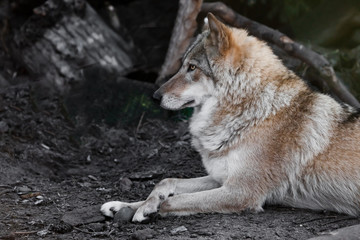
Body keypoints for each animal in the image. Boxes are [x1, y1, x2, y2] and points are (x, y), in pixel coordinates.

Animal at [100, 13, 360, 223]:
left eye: (192, 68)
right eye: (183, 65)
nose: (155, 96)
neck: (250, 112)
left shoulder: (241, 191)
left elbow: (172, 200)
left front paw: (149, 209)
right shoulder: (221, 178)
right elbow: (166, 181)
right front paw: (125, 206)